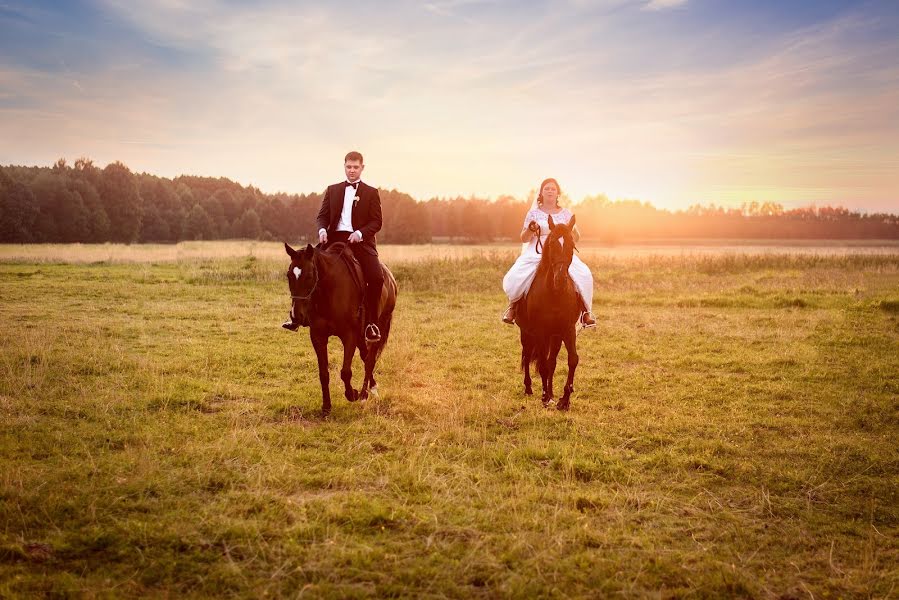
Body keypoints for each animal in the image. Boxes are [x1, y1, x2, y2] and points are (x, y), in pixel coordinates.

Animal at [284, 241, 398, 414]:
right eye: (289, 275)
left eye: (309, 276)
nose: (296, 316)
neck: (328, 292)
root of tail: (390, 276)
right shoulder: (318, 336)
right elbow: (323, 374)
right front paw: (326, 406)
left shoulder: (349, 336)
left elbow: (345, 372)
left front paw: (353, 394)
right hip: (361, 334)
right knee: (365, 356)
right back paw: (371, 388)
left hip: (379, 325)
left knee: (370, 360)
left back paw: (364, 395)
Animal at [512, 217, 584, 412]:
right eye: (551, 243)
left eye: (572, 243)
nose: (560, 279)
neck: (555, 293)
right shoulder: (540, 332)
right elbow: (542, 364)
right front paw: (544, 397)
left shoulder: (567, 330)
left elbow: (572, 360)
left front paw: (564, 400)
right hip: (527, 333)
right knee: (527, 355)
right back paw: (529, 389)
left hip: (555, 336)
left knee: (552, 361)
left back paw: (551, 393)